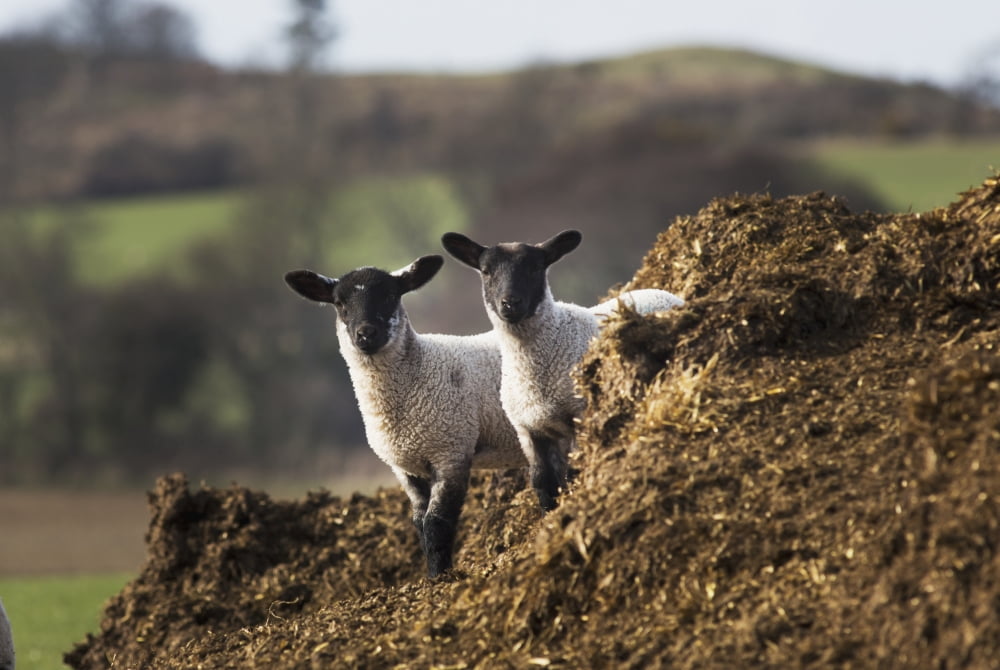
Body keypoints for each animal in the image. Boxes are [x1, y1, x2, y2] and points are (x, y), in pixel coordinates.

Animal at [284, 255, 525, 578]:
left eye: (389, 296)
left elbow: (437, 522)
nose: (366, 334)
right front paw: (433, 574)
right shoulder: (405, 467)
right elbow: (419, 523)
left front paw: (439, 578)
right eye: (340, 303)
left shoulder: (450, 451)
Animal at [442, 230, 684, 510]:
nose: (510, 304)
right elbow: (542, 482)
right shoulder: (530, 431)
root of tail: (659, 290)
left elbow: (573, 473)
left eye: (536, 267)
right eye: (485, 270)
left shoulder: (578, 413)